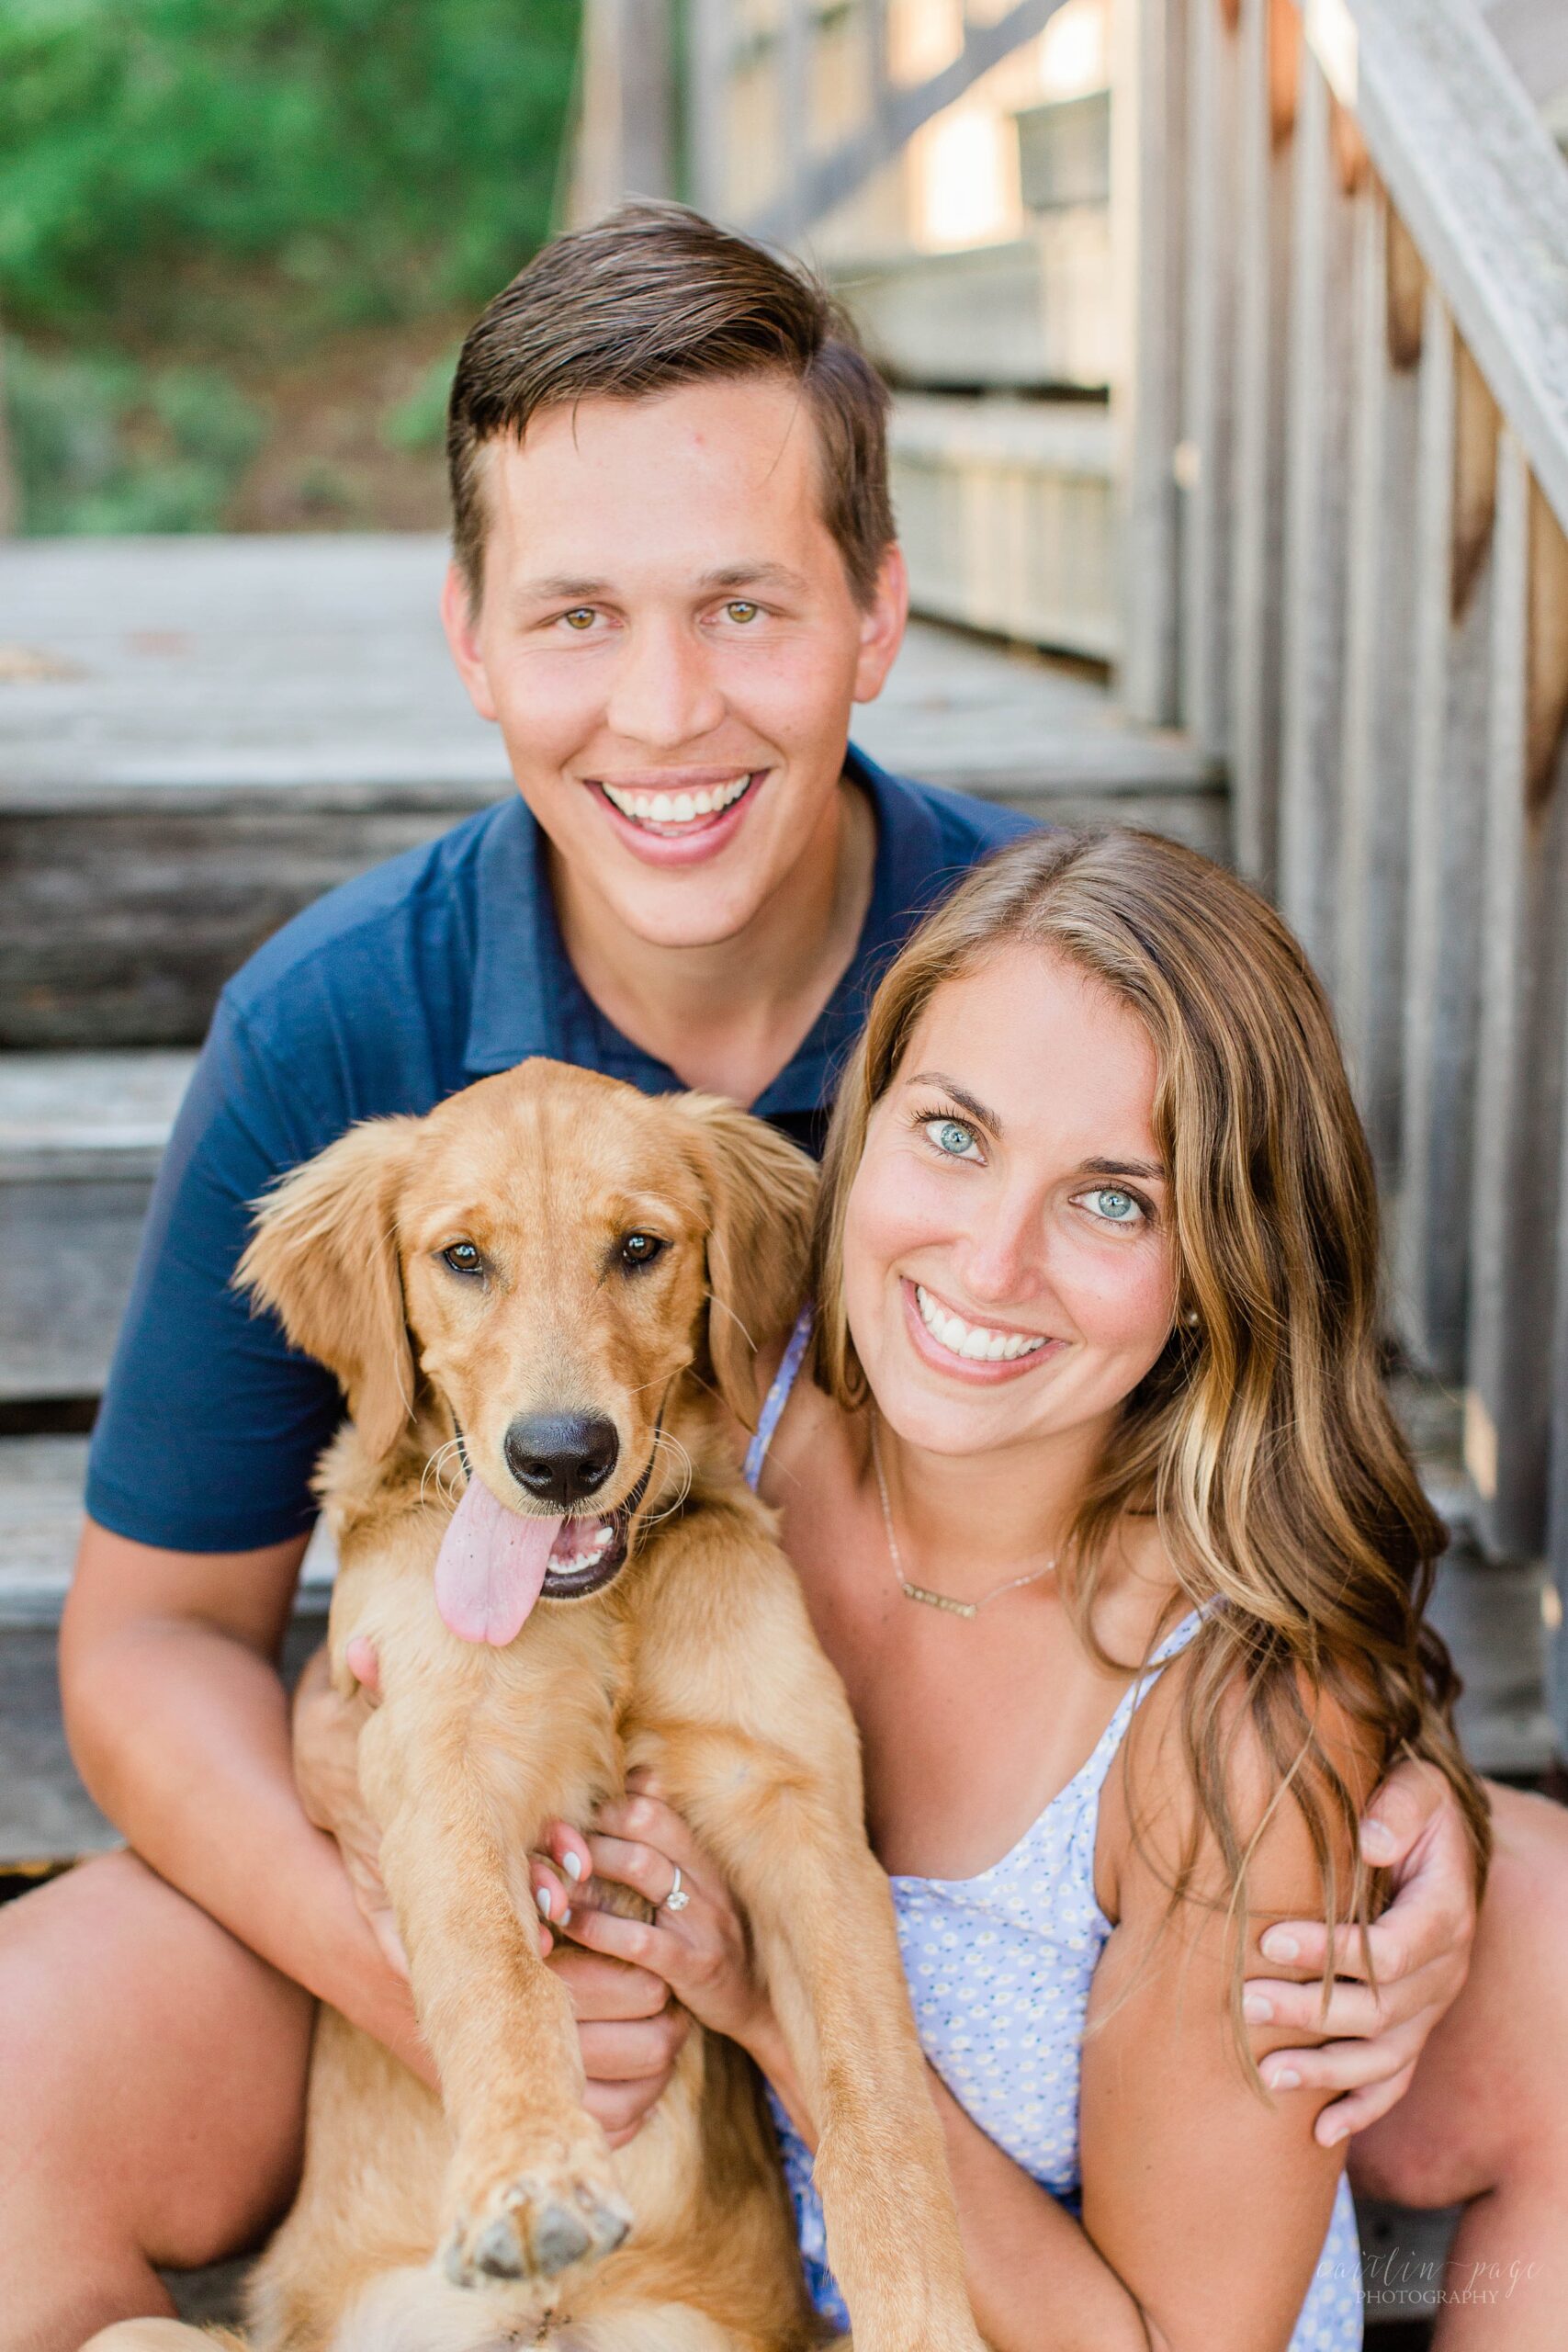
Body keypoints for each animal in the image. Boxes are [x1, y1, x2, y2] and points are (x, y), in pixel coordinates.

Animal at [88, 1063, 982, 2352]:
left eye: (640, 1247)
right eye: (463, 1257)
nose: (561, 1458)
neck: (604, 1607)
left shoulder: (801, 1809)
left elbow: (881, 2103)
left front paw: (921, 2315)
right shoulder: (438, 1770)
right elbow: (496, 1977)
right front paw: (530, 2179)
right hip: (145, 2333)